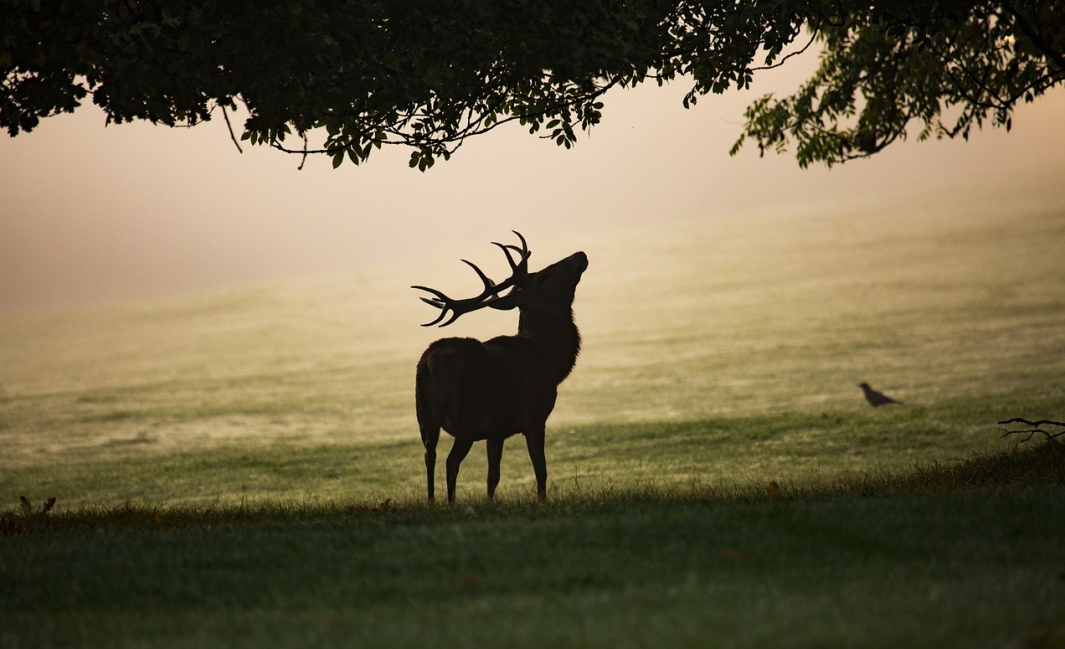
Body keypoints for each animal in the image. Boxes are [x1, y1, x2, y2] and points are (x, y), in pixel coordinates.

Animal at [411, 230, 592, 503]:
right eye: (544, 276)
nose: (580, 254)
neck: (551, 361)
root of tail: (432, 361)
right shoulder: (534, 416)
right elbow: (541, 469)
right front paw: (542, 502)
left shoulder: (496, 430)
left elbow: (492, 478)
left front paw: (489, 503)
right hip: (468, 414)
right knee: (451, 461)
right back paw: (450, 503)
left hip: (425, 415)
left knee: (428, 456)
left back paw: (432, 502)